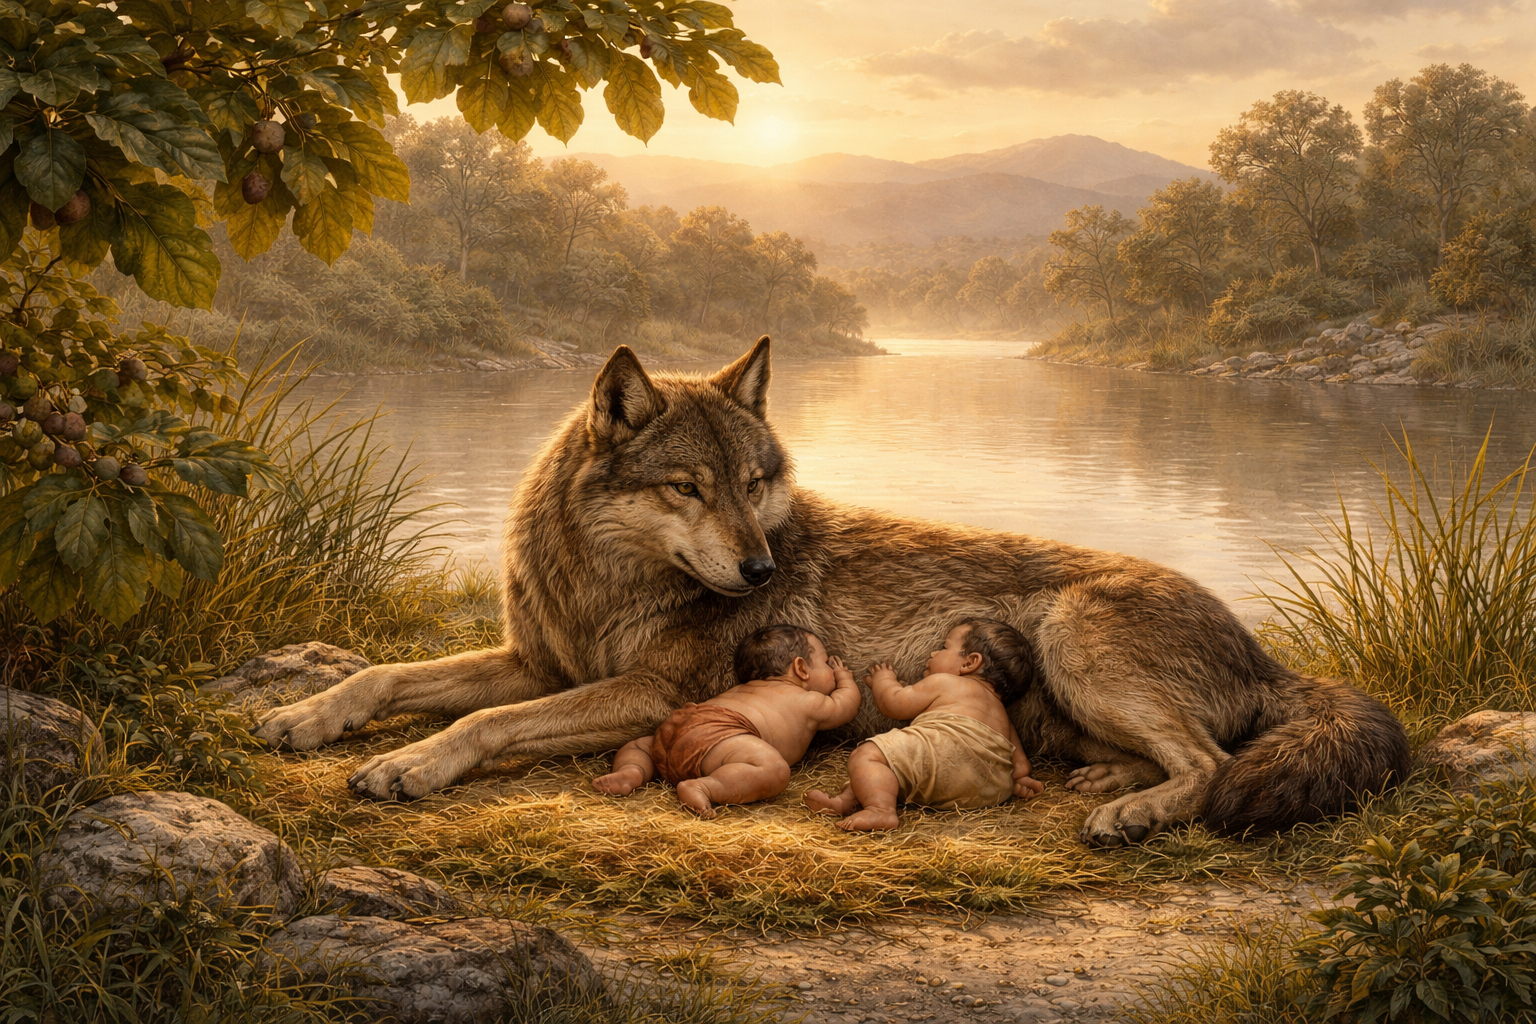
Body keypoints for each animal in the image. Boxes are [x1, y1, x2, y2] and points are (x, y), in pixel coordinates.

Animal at [256, 338, 1411, 846]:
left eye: (755, 483)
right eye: (689, 487)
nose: (763, 572)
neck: (605, 582)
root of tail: (1267, 652)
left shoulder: (639, 695)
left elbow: (483, 724)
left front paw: (408, 765)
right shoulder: (536, 661)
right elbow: (389, 676)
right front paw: (304, 715)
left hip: (1077, 636)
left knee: (1212, 764)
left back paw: (1127, 813)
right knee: (1180, 753)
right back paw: (1107, 784)